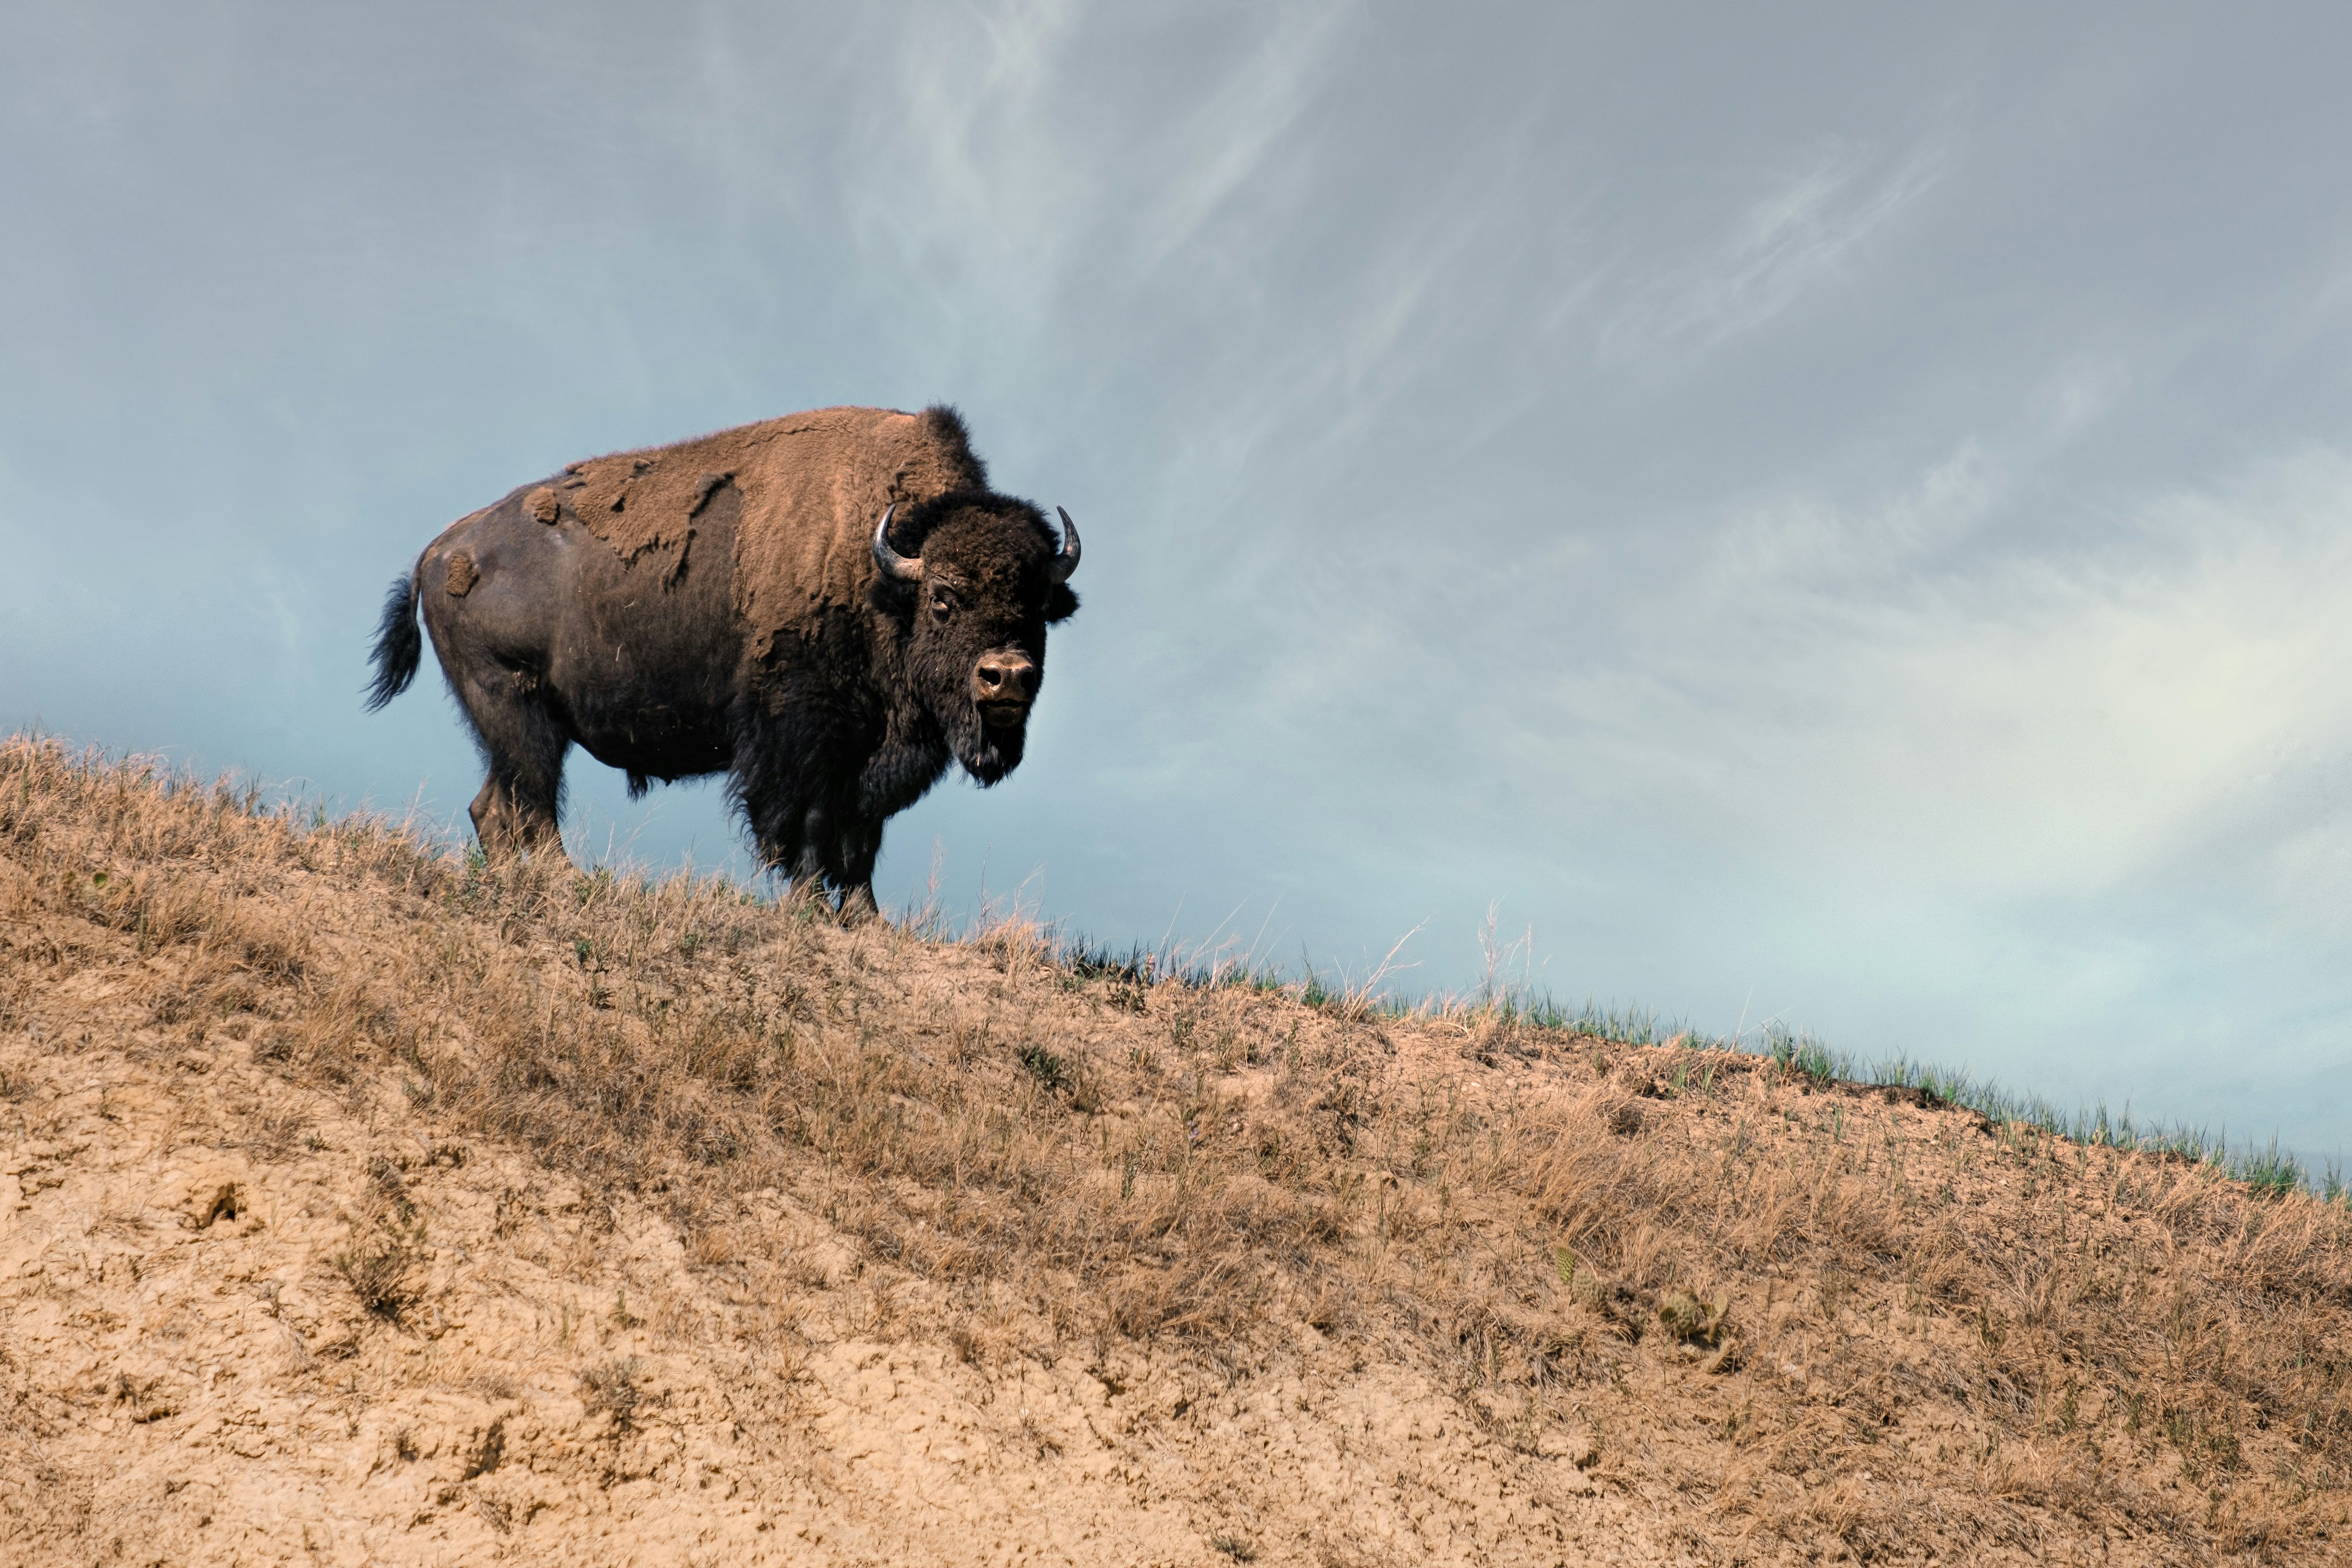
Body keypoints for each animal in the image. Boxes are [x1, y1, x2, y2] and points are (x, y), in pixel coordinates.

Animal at [366, 404, 1082, 921]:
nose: (1006, 676)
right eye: (943, 598)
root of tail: (439, 551)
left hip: (514, 724)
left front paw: (867, 920)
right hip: (518, 710)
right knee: (533, 802)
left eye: (1038, 605)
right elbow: (809, 826)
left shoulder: (870, 754)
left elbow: (861, 836)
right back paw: (566, 882)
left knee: (496, 804)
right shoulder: (803, 739)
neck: (882, 576)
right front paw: (808, 907)